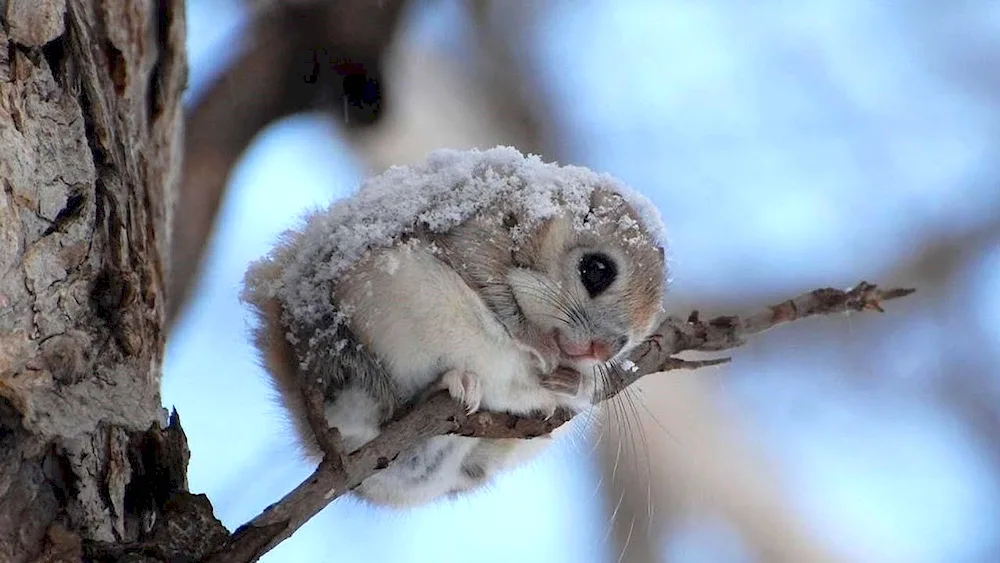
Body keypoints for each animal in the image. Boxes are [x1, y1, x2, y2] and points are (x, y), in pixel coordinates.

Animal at [240, 145, 664, 506]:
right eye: (596, 270)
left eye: (637, 335)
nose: (603, 350)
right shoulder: (475, 235)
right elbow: (497, 293)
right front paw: (538, 346)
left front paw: (576, 381)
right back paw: (446, 385)